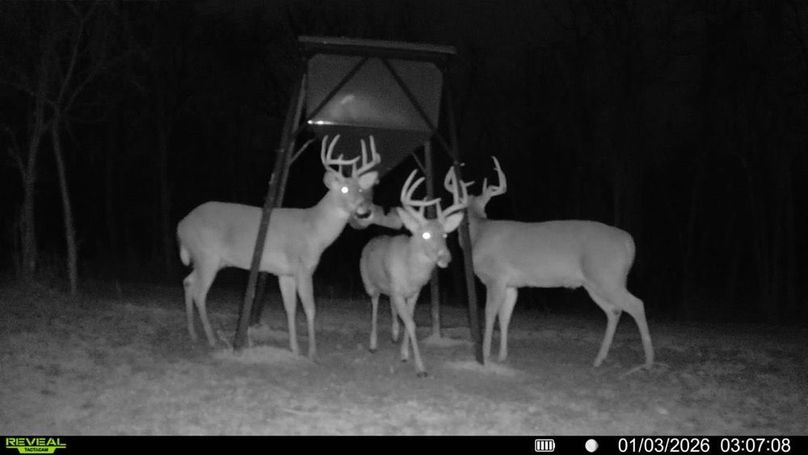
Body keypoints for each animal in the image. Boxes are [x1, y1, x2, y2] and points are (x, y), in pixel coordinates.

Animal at [177, 135, 380, 359]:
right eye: (344, 188)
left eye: (360, 188)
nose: (364, 208)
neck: (314, 231)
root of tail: (180, 227)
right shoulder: (303, 267)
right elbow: (310, 309)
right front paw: (312, 351)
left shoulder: (285, 273)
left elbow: (289, 309)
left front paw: (295, 348)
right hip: (207, 256)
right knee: (199, 292)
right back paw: (212, 339)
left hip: (207, 260)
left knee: (187, 281)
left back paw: (193, 333)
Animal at [359, 169, 467, 377]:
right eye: (425, 234)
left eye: (444, 234)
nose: (446, 257)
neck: (411, 271)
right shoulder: (398, 290)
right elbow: (410, 323)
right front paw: (421, 368)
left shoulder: (414, 292)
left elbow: (409, 319)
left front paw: (404, 354)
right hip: (369, 283)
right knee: (375, 305)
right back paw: (373, 344)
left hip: (390, 288)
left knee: (391, 306)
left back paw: (394, 333)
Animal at [445, 157, 654, 369]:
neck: (478, 235)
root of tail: (629, 242)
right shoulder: (511, 284)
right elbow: (505, 317)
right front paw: (502, 356)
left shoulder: (496, 277)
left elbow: (489, 314)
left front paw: (486, 355)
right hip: (596, 283)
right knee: (614, 311)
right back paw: (599, 359)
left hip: (607, 276)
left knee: (636, 305)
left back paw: (648, 362)